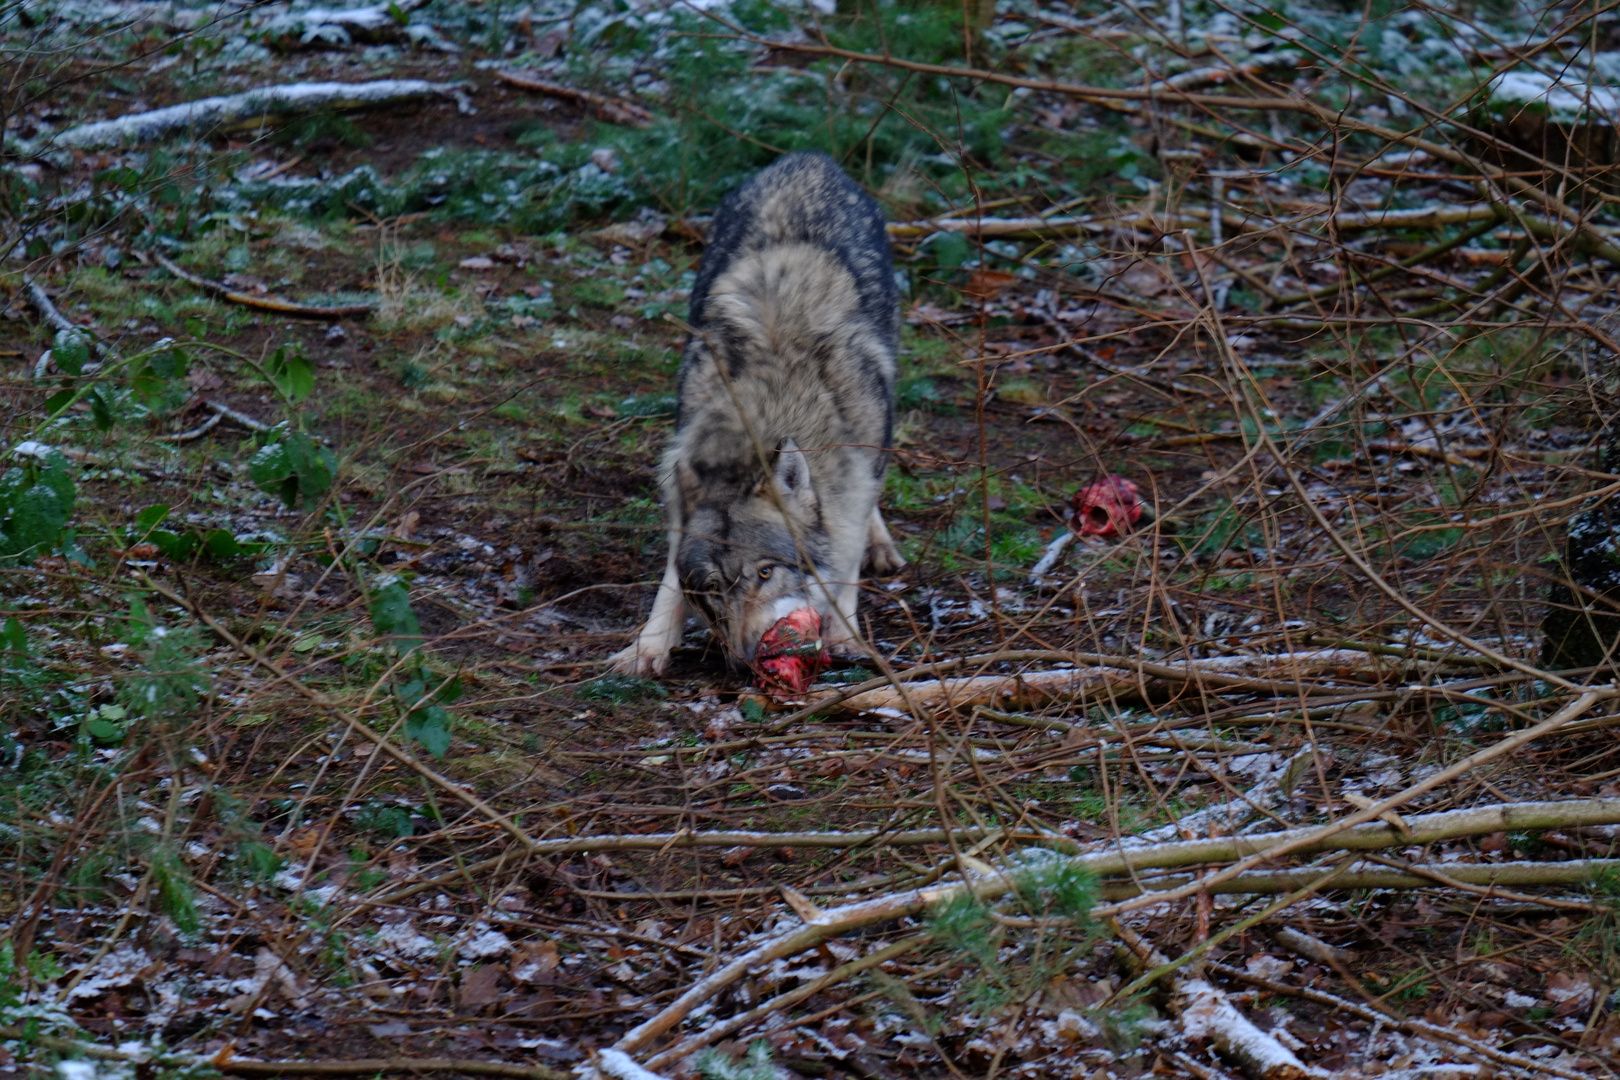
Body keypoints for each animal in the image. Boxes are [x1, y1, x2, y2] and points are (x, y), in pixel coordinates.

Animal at [609, 152, 907, 676]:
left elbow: (845, 558)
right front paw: (649, 646)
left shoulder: (853, 476)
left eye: (767, 572)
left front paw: (843, 634)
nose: (747, 659)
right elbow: (669, 582)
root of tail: (808, 159)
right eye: (713, 588)